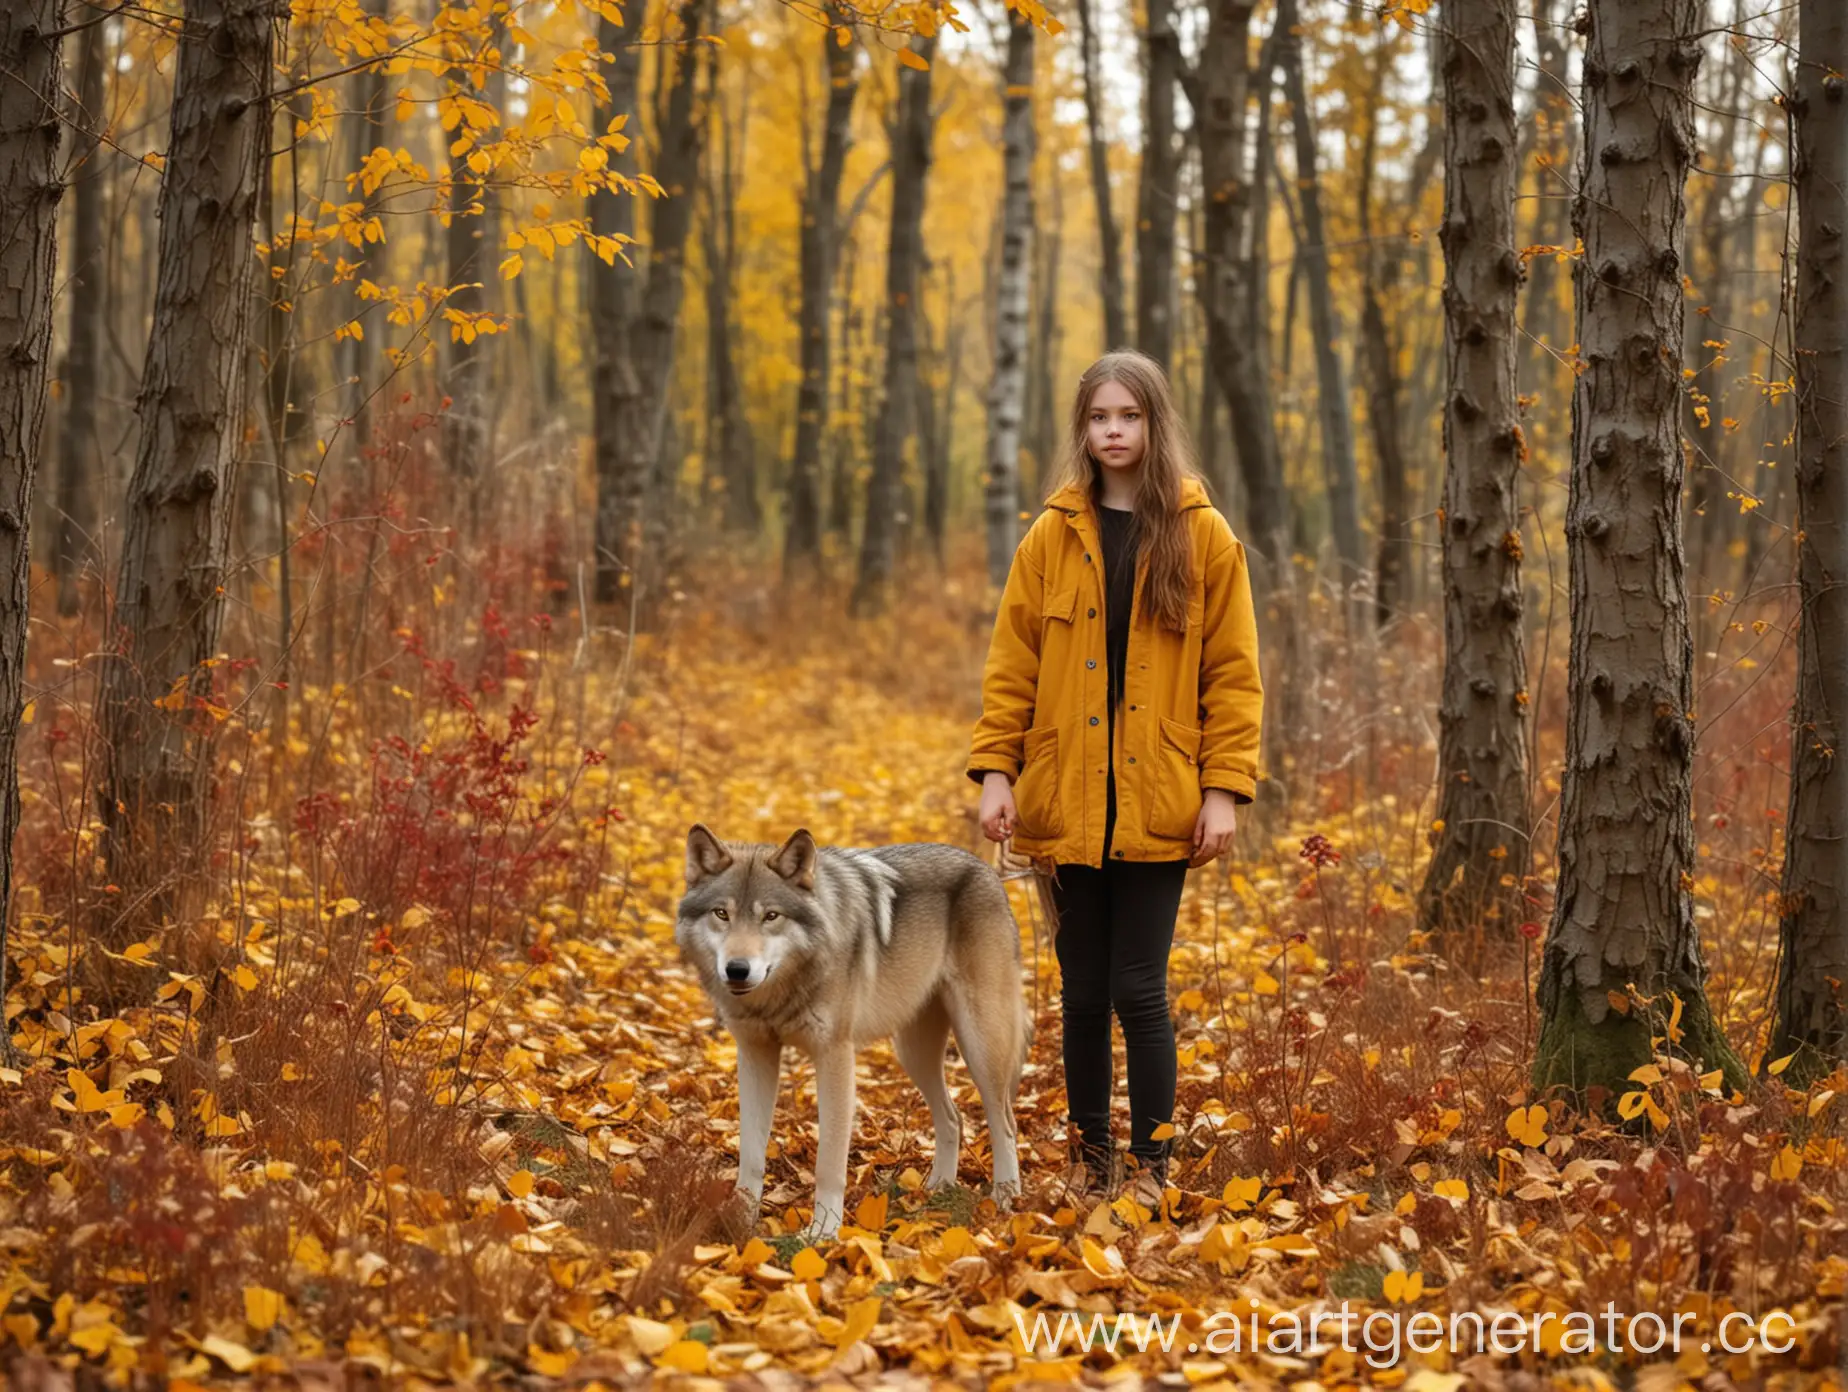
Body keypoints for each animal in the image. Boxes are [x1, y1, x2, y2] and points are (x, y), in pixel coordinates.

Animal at [676, 820, 1034, 1234]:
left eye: (771, 916)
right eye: (722, 913)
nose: (737, 969)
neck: (780, 994)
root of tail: (985, 868)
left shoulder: (835, 1057)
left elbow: (829, 1162)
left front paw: (823, 1232)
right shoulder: (755, 1054)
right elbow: (750, 1153)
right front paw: (740, 1221)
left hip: (980, 1046)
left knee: (1004, 1122)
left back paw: (1005, 1199)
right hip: (913, 1053)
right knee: (953, 1118)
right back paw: (936, 1189)